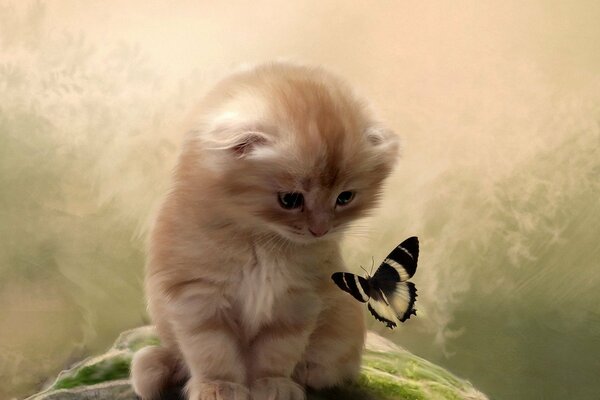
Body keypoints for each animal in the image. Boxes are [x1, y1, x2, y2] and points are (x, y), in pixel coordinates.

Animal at [130, 62, 398, 400]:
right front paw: (219, 387)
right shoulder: (198, 297)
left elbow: (276, 354)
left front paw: (272, 385)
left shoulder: (296, 302)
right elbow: (213, 353)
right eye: (290, 200)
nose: (320, 230)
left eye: (345, 198)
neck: (261, 240)